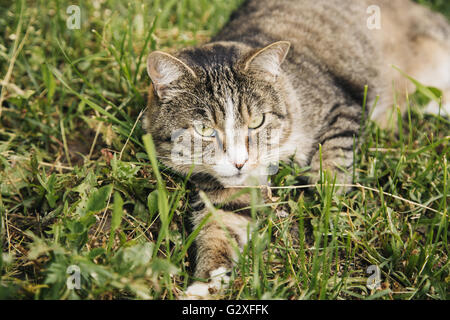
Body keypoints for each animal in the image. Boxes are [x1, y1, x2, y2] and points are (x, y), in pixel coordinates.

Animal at [143, 0, 450, 300]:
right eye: (205, 130)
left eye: (257, 121)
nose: (240, 162)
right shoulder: (225, 192)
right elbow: (219, 230)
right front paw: (205, 285)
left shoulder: (343, 107)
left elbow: (332, 159)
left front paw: (323, 197)